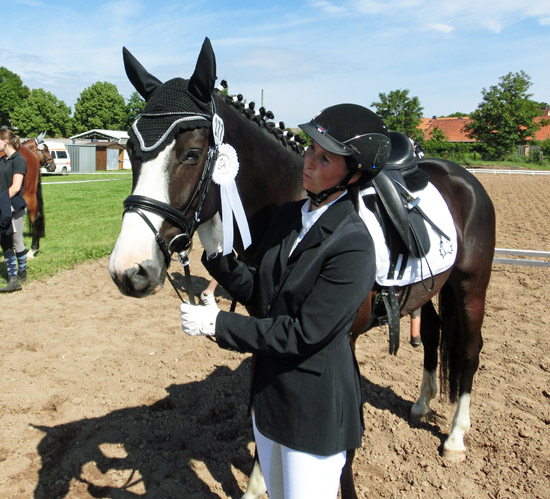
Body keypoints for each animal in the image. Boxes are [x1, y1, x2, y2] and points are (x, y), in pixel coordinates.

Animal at [110, 39, 498, 499]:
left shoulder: (337, 339)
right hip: (431, 288)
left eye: (190, 154)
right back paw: (422, 404)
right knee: (436, 332)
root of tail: (462, 177)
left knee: (470, 350)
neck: (302, 205)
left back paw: (455, 438)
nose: (129, 270)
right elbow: (262, 414)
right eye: (133, 155)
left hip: (470, 286)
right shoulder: (268, 329)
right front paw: (257, 486)